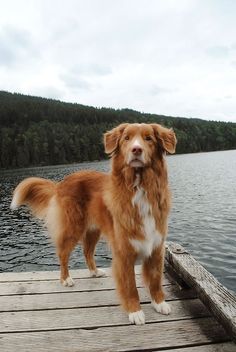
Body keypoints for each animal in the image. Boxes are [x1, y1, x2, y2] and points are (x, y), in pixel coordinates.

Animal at [11, 123, 177, 324]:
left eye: (148, 139)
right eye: (127, 139)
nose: (136, 150)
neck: (139, 187)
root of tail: (61, 183)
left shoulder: (156, 246)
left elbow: (155, 279)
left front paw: (159, 302)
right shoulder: (123, 251)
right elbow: (130, 285)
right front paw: (135, 311)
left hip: (93, 230)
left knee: (87, 251)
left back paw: (94, 271)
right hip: (72, 227)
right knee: (63, 254)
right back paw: (66, 279)